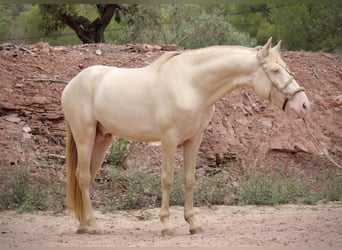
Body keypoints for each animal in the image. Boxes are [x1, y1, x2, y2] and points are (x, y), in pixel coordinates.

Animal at [60, 37, 310, 236]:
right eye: (275, 71)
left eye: (286, 67)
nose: (304, 105)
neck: (190, 85)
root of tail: (72, 84)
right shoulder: (169, 140)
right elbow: (168, 180)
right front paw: (166, 225)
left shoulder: (194, 139)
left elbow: (189, 179)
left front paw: (193, 224)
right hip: (85, 137)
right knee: (83, 177)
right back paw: (93, 226)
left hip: (102, 138)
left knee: (87, 177)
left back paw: (83, 225)